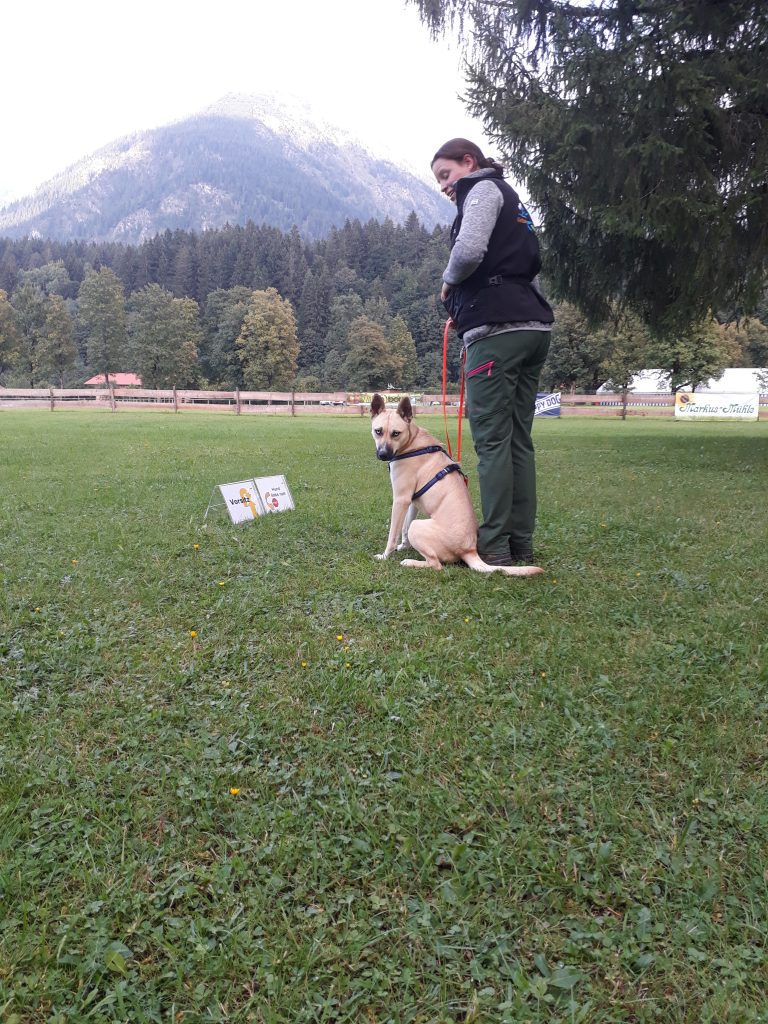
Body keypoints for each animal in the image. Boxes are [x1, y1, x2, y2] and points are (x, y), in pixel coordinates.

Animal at [370, 393, 540, 577]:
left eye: (396, 433)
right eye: (378, 431)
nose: (383, 455)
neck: (411, 443)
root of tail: (469, 550)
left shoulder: (400, 499)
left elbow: (393, 534)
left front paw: (385, 555)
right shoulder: (411, 502)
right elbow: (404, 528)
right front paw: (404, 546)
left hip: (419, 528)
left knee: (436, 565)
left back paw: (410, 562)